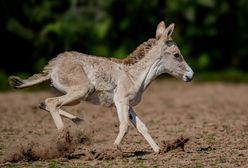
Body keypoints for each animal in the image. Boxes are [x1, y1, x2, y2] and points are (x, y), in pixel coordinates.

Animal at [8, 21, 194, 152]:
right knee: (52, 102)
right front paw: (112, 150)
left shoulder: (128, 105)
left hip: (76, 96)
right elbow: (125, 126)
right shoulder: (120, 101)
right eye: (176, 55)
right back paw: (66, 140)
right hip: (81, 92)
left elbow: (141, 127)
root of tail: (53, 66)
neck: (134, 76)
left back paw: (78, 124)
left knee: (44, 103)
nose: (191, 75)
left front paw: (158, 150)